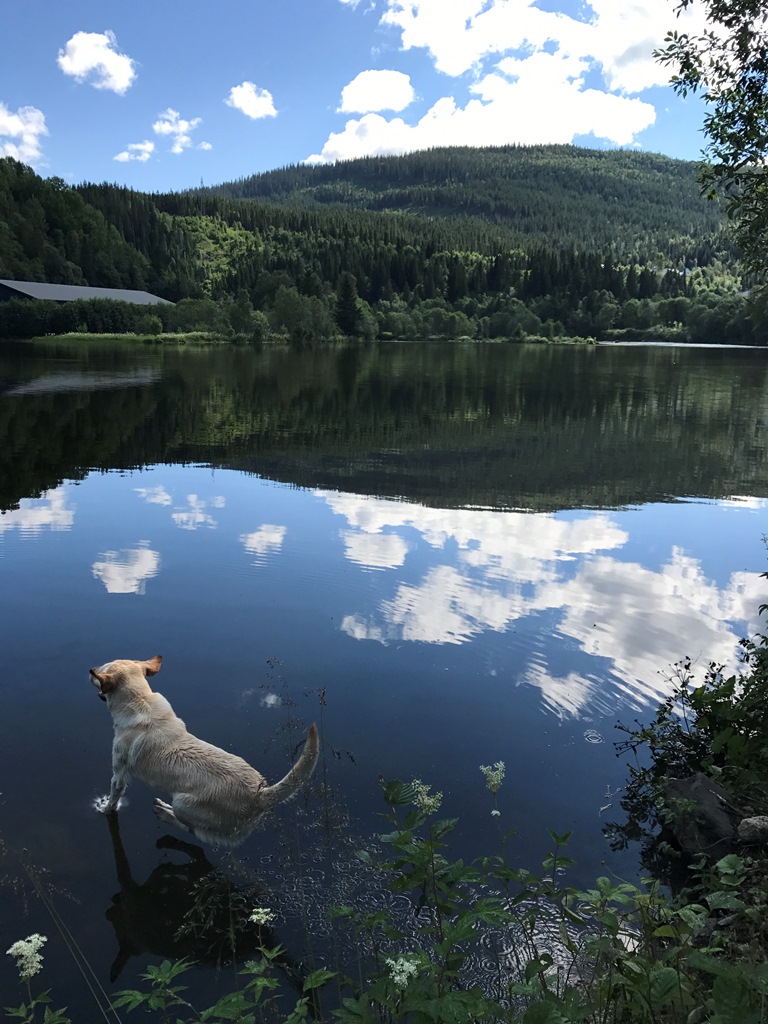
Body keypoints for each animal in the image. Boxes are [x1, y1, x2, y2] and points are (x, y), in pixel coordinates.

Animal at [90, 659, 319, 843]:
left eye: (102, 669)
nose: (90, 670)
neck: (140, 699)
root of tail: (260, 794)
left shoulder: (119, 773)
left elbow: (114, 796)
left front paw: (104, 809)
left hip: (183, 804)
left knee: (194, 831)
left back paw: (164, 813)